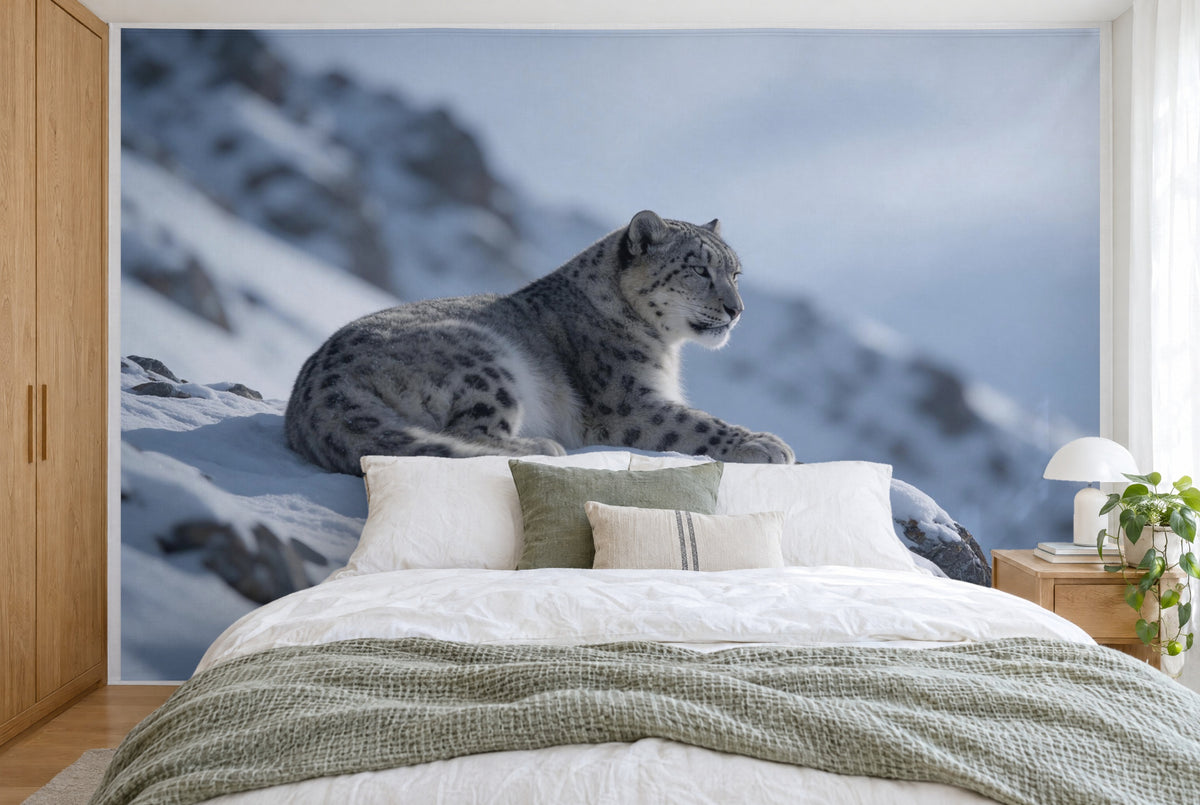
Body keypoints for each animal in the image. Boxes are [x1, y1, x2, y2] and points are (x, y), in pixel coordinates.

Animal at [284, 210, 795, 474]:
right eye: (698, 269)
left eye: (735, 273)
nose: (737, 310)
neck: (666, 350)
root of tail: (315, 381)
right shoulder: (628, 403)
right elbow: (697, 423)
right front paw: (767, 444)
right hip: (486, 361)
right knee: (469, 436)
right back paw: (543, 447)